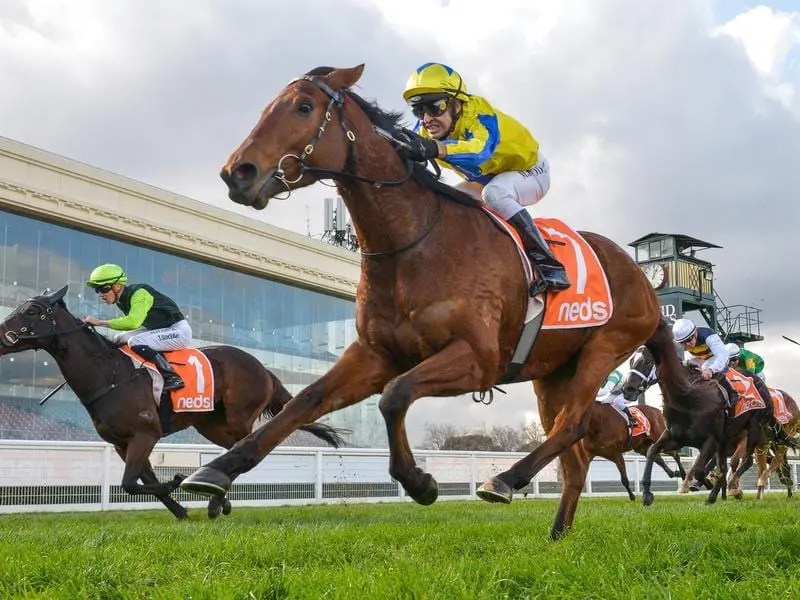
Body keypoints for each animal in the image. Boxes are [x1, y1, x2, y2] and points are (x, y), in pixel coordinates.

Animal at [0, 284, 342, 516]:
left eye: (31, 311)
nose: (1, 335)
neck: (109, 375)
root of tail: (264, 368)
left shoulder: (145, 433)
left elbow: (130, 483)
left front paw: (177, 480)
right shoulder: (121, 443)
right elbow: (140, 480)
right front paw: (181, 509)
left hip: (238, 417)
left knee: (249, 446)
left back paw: (216, 499)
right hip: (210, 425)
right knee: (234, 450)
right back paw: (218, 498)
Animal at [181, 64, 664, 540]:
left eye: (303, 106)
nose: (237, 172)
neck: (415, 242)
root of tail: (642, 277)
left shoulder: (478, 359)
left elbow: (394, 396)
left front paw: (419, 482)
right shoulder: (375, 354)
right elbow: (305, 400)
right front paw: (218, 469)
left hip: (604, 348)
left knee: (573, 425)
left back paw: (505, 480)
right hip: (552, 373)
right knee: (574, 455)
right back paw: (556, 533)